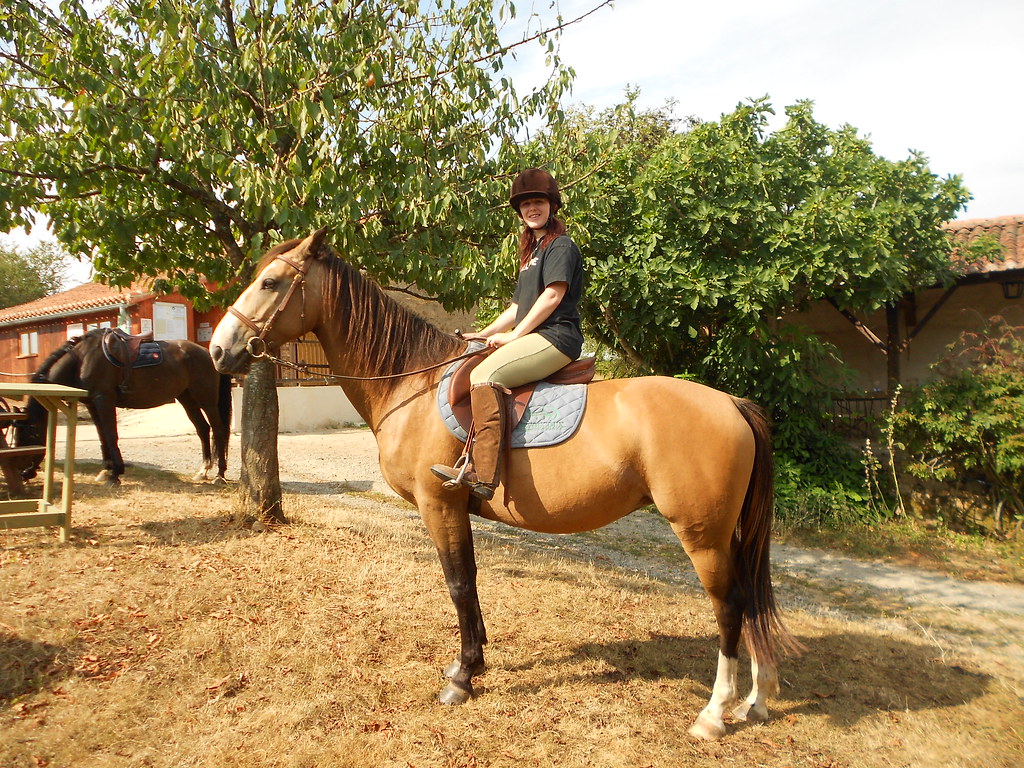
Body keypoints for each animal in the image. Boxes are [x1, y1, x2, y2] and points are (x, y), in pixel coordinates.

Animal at [17, 328, 233, 486]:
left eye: (29, 435)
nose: (23, 472)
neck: (82, 359)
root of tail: (208, 354)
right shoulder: (92, 403)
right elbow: (102, 436)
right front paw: (106, 470)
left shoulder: (104, 400)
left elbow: (111, 434)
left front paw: (115, 474)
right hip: (187, 398)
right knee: (203, 429)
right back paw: (203, 471)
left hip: (205, 399)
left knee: (218, 430)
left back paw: (219, 475)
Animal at [209, 228, 799, 740]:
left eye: (270, 283)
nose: (217, 350)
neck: (412, 384)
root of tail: (732, 404)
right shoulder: (456, 508)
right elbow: (469, 581)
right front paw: (473, 661)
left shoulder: (438, 503)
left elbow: (458, 584)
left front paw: (462, 678)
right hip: (726, 534)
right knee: (750, 600)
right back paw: (756, 701)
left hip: (701, 534)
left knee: (730, 606)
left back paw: (714, 713)